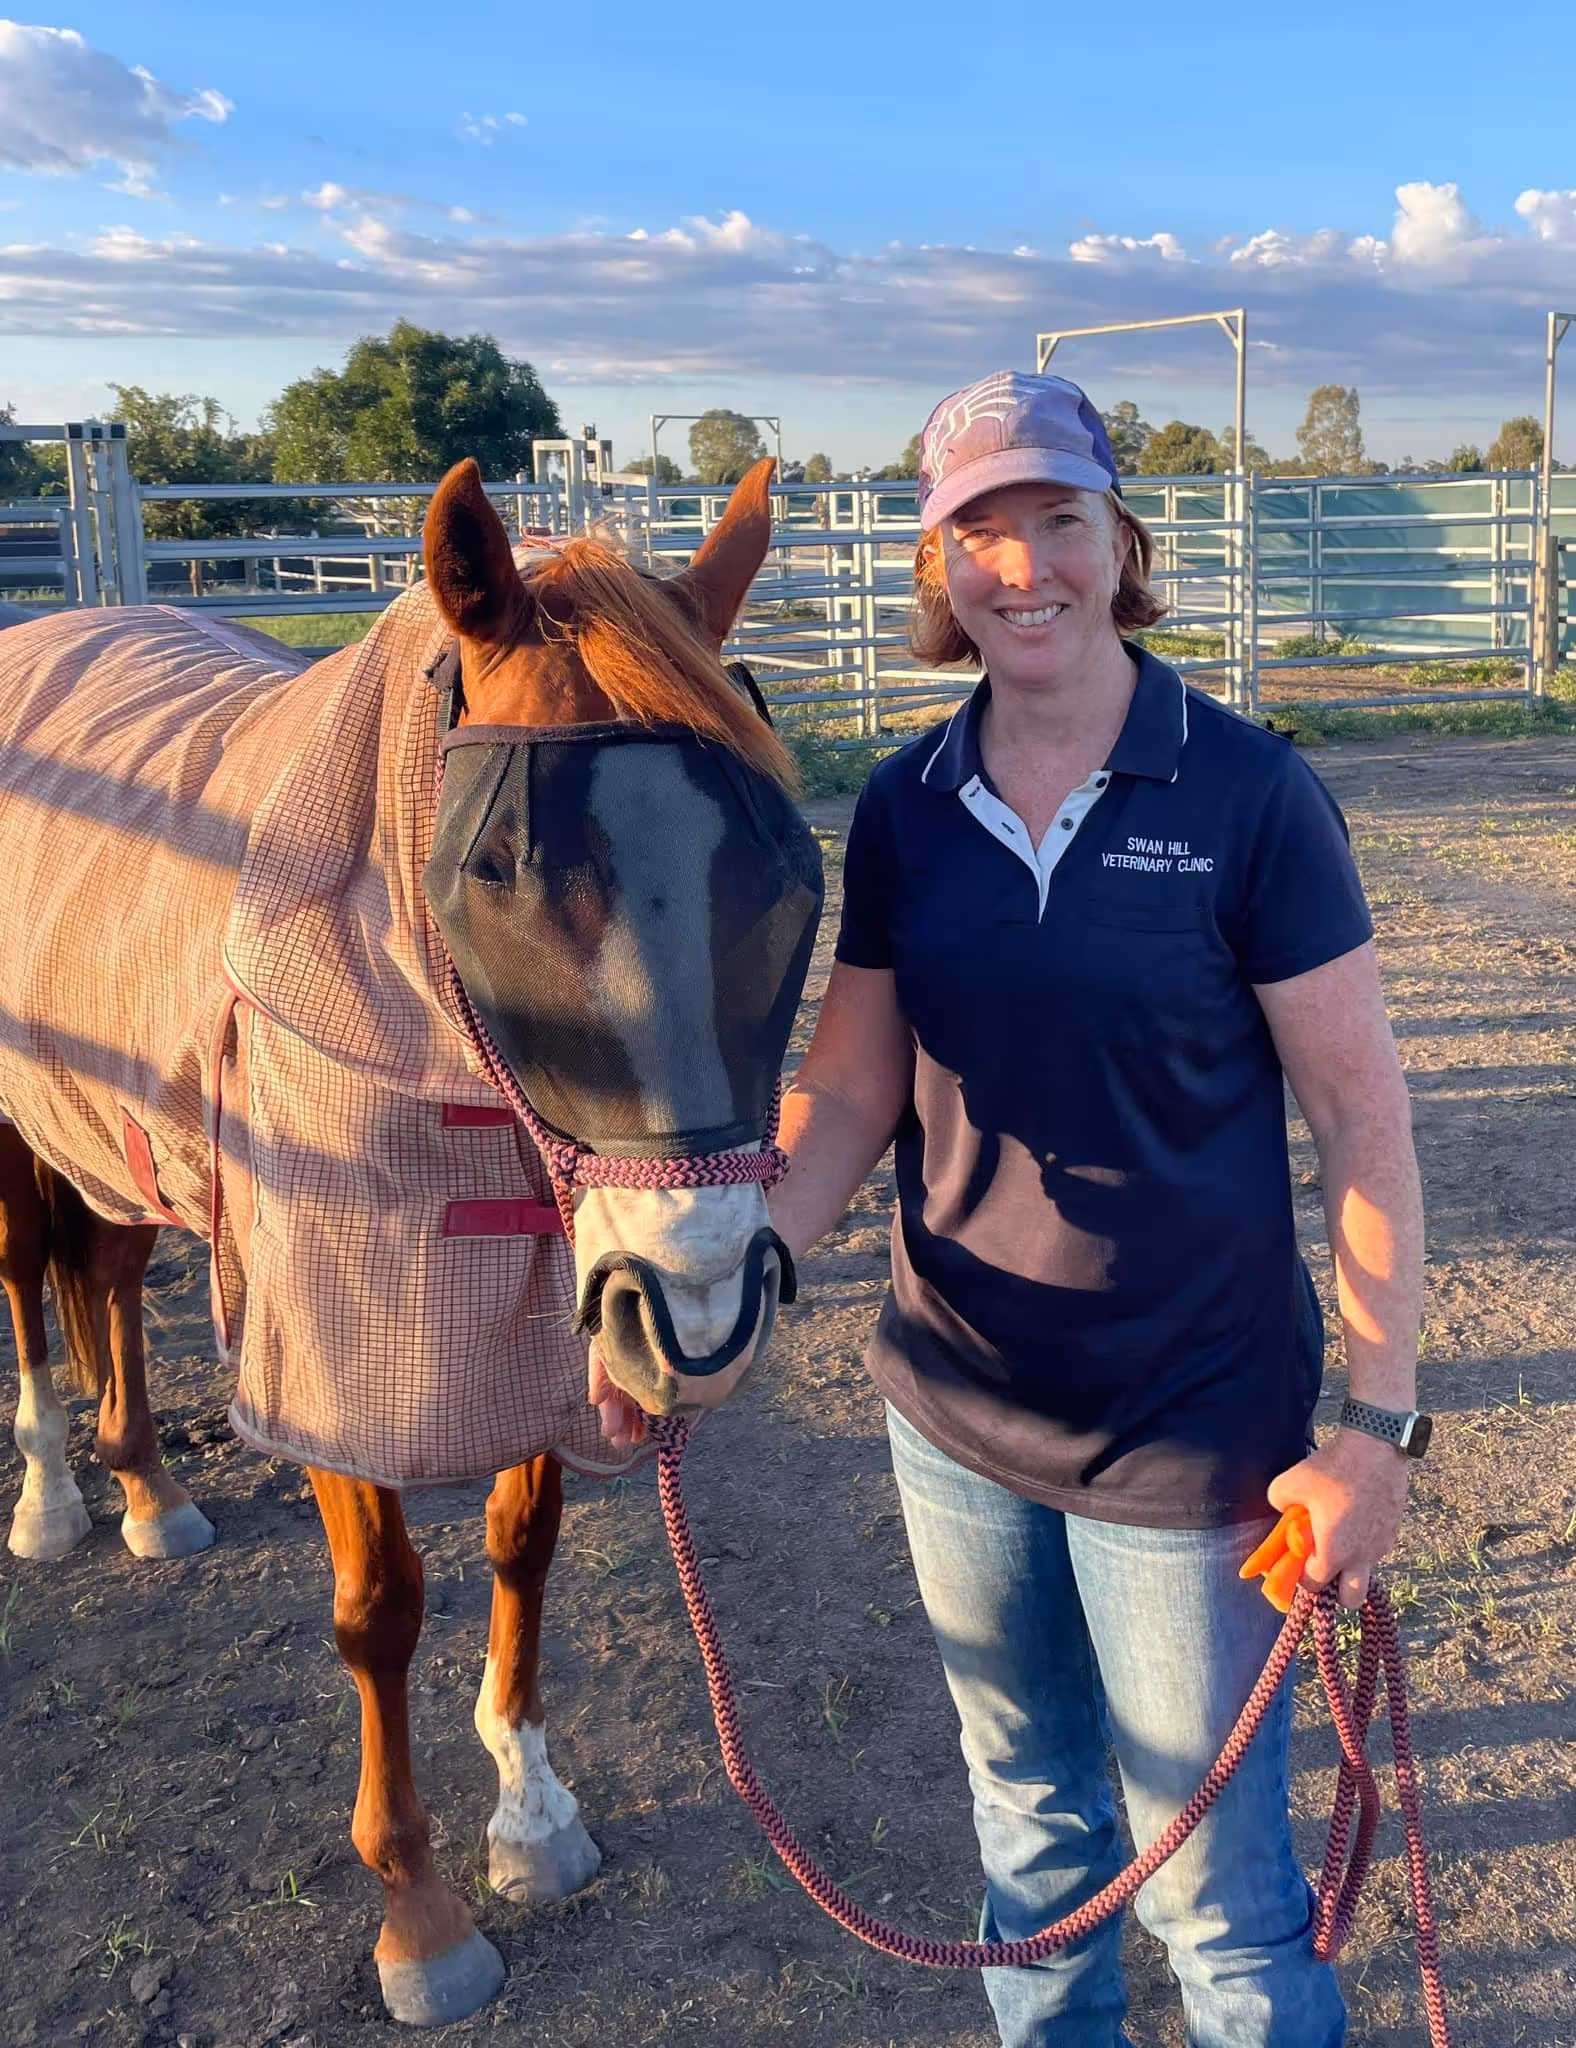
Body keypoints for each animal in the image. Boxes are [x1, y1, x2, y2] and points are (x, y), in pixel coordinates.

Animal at [0, 456, 822, 2024]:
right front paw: (421, 1915)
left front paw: (533, 1814)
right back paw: (57, 1499)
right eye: (494, 869)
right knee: (29, 1282)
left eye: (789, 863)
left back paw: (147, 1487)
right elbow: (382, 1608)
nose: (698, 1305)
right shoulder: (330, 1332)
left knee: (115, 1274)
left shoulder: (539, 1304)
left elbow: (523, 1543)